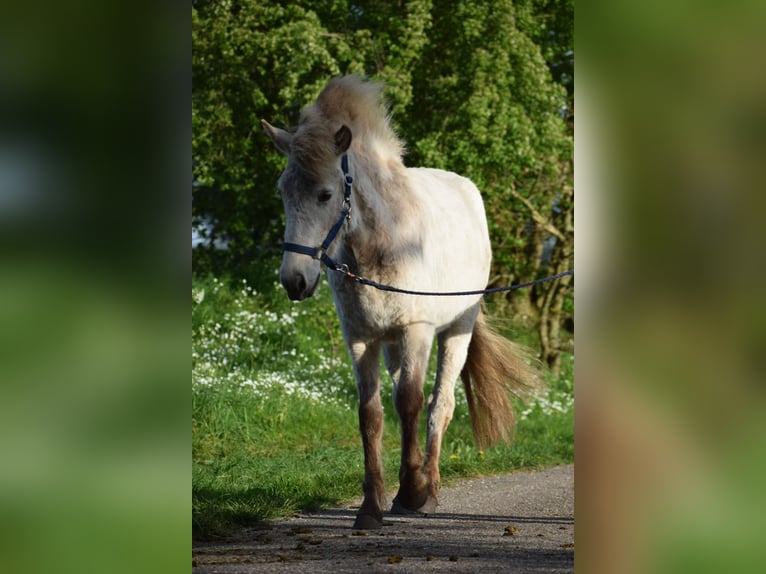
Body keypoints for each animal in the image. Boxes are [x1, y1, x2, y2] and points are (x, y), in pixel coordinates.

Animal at [262, 76, 540, 532]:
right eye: (284, 191)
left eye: (325, 194)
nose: (294, 280)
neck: (380, 242)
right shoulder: (361, 339)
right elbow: (371, 414)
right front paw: (371, 506)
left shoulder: (416, 333)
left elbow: (411, 403)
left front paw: (412, 490)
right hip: (393, 345)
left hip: (455, 333)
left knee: (438, 405)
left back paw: (430, 489)